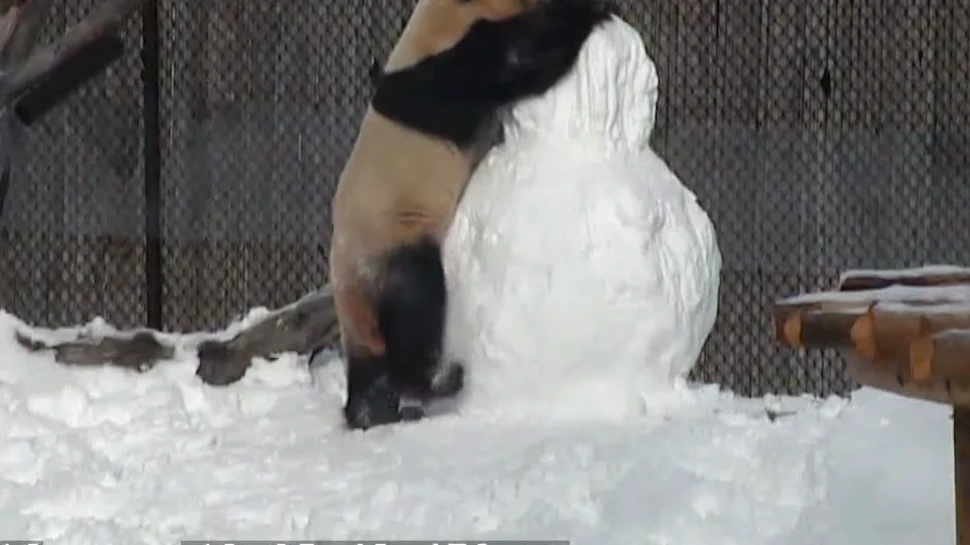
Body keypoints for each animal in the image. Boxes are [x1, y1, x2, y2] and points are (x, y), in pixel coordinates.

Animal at [328, 0, 614, 430]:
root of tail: (348, 287)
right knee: (418, 306)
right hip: (392, 244)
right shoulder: (453, 69)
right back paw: (440, 381)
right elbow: (522, 66)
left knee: (369, 367)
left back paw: (373, 411)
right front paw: (593, 12)